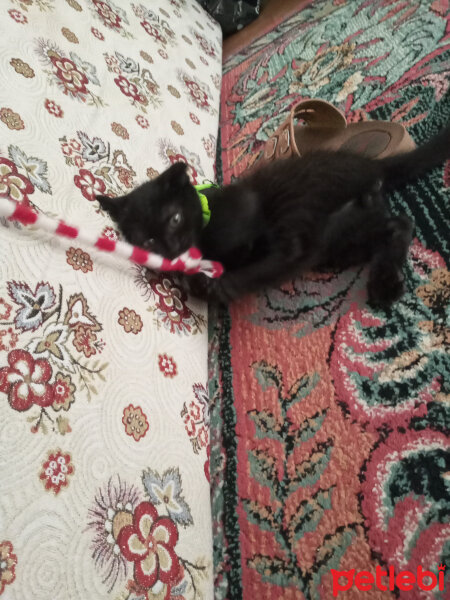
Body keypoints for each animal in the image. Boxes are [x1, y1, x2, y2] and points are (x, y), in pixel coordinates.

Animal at [98, 125, 450, 304]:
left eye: (174, 218)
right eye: (148, 241)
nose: (171, 249)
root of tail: (372, 166)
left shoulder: (247, 209)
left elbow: (253, 259)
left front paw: (214, 285)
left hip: (300, 206)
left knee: (293, 250)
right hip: (342, 238)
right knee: (397, 224)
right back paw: (384, 282)